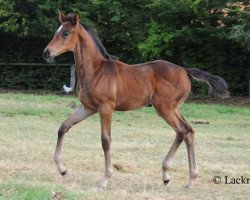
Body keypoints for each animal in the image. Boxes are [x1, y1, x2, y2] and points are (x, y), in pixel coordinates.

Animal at [43, 11, 229, 190]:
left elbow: (105, 140)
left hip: (164, 108)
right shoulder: (88, 107)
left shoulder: (105, 107)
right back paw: (181, 178)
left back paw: (176, 177)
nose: (47, 53)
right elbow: (63, 127)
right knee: (187, 131)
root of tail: (184, 70)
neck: (96, 71)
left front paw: (105, 179)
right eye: (56, 31)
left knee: (182, 131)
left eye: (66, 33)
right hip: (174, 108)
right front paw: (63, 169)